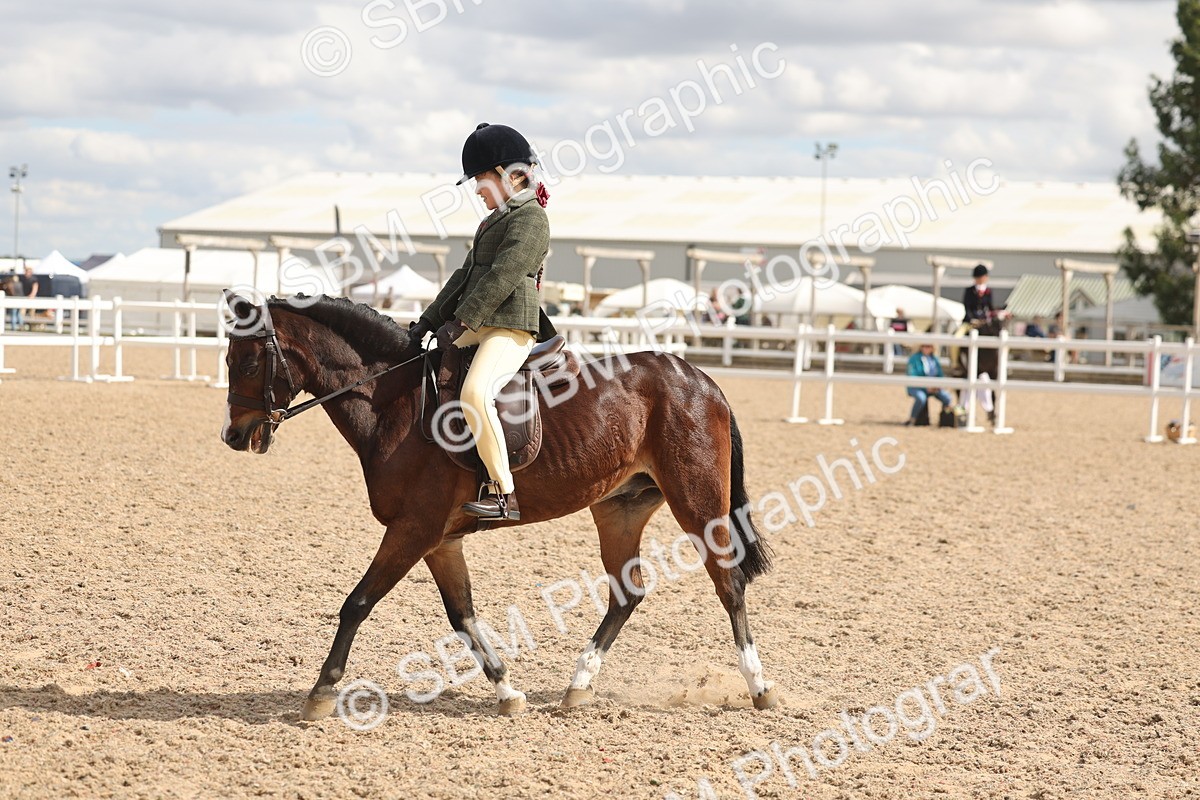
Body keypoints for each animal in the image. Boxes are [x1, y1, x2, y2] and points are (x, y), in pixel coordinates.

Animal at [219, 293, 778, 719]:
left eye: (246, 362)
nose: (234, 436)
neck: (393, 402)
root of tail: (698, 377)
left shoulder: (413, 530)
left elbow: (357, 602)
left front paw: (320, 693)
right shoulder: (439, 540)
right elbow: (462, 616)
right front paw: (508, 691)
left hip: (697, 501)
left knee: (728, 583)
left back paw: (759, 687)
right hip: (620, 508)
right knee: (627, 592)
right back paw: (579, 685)